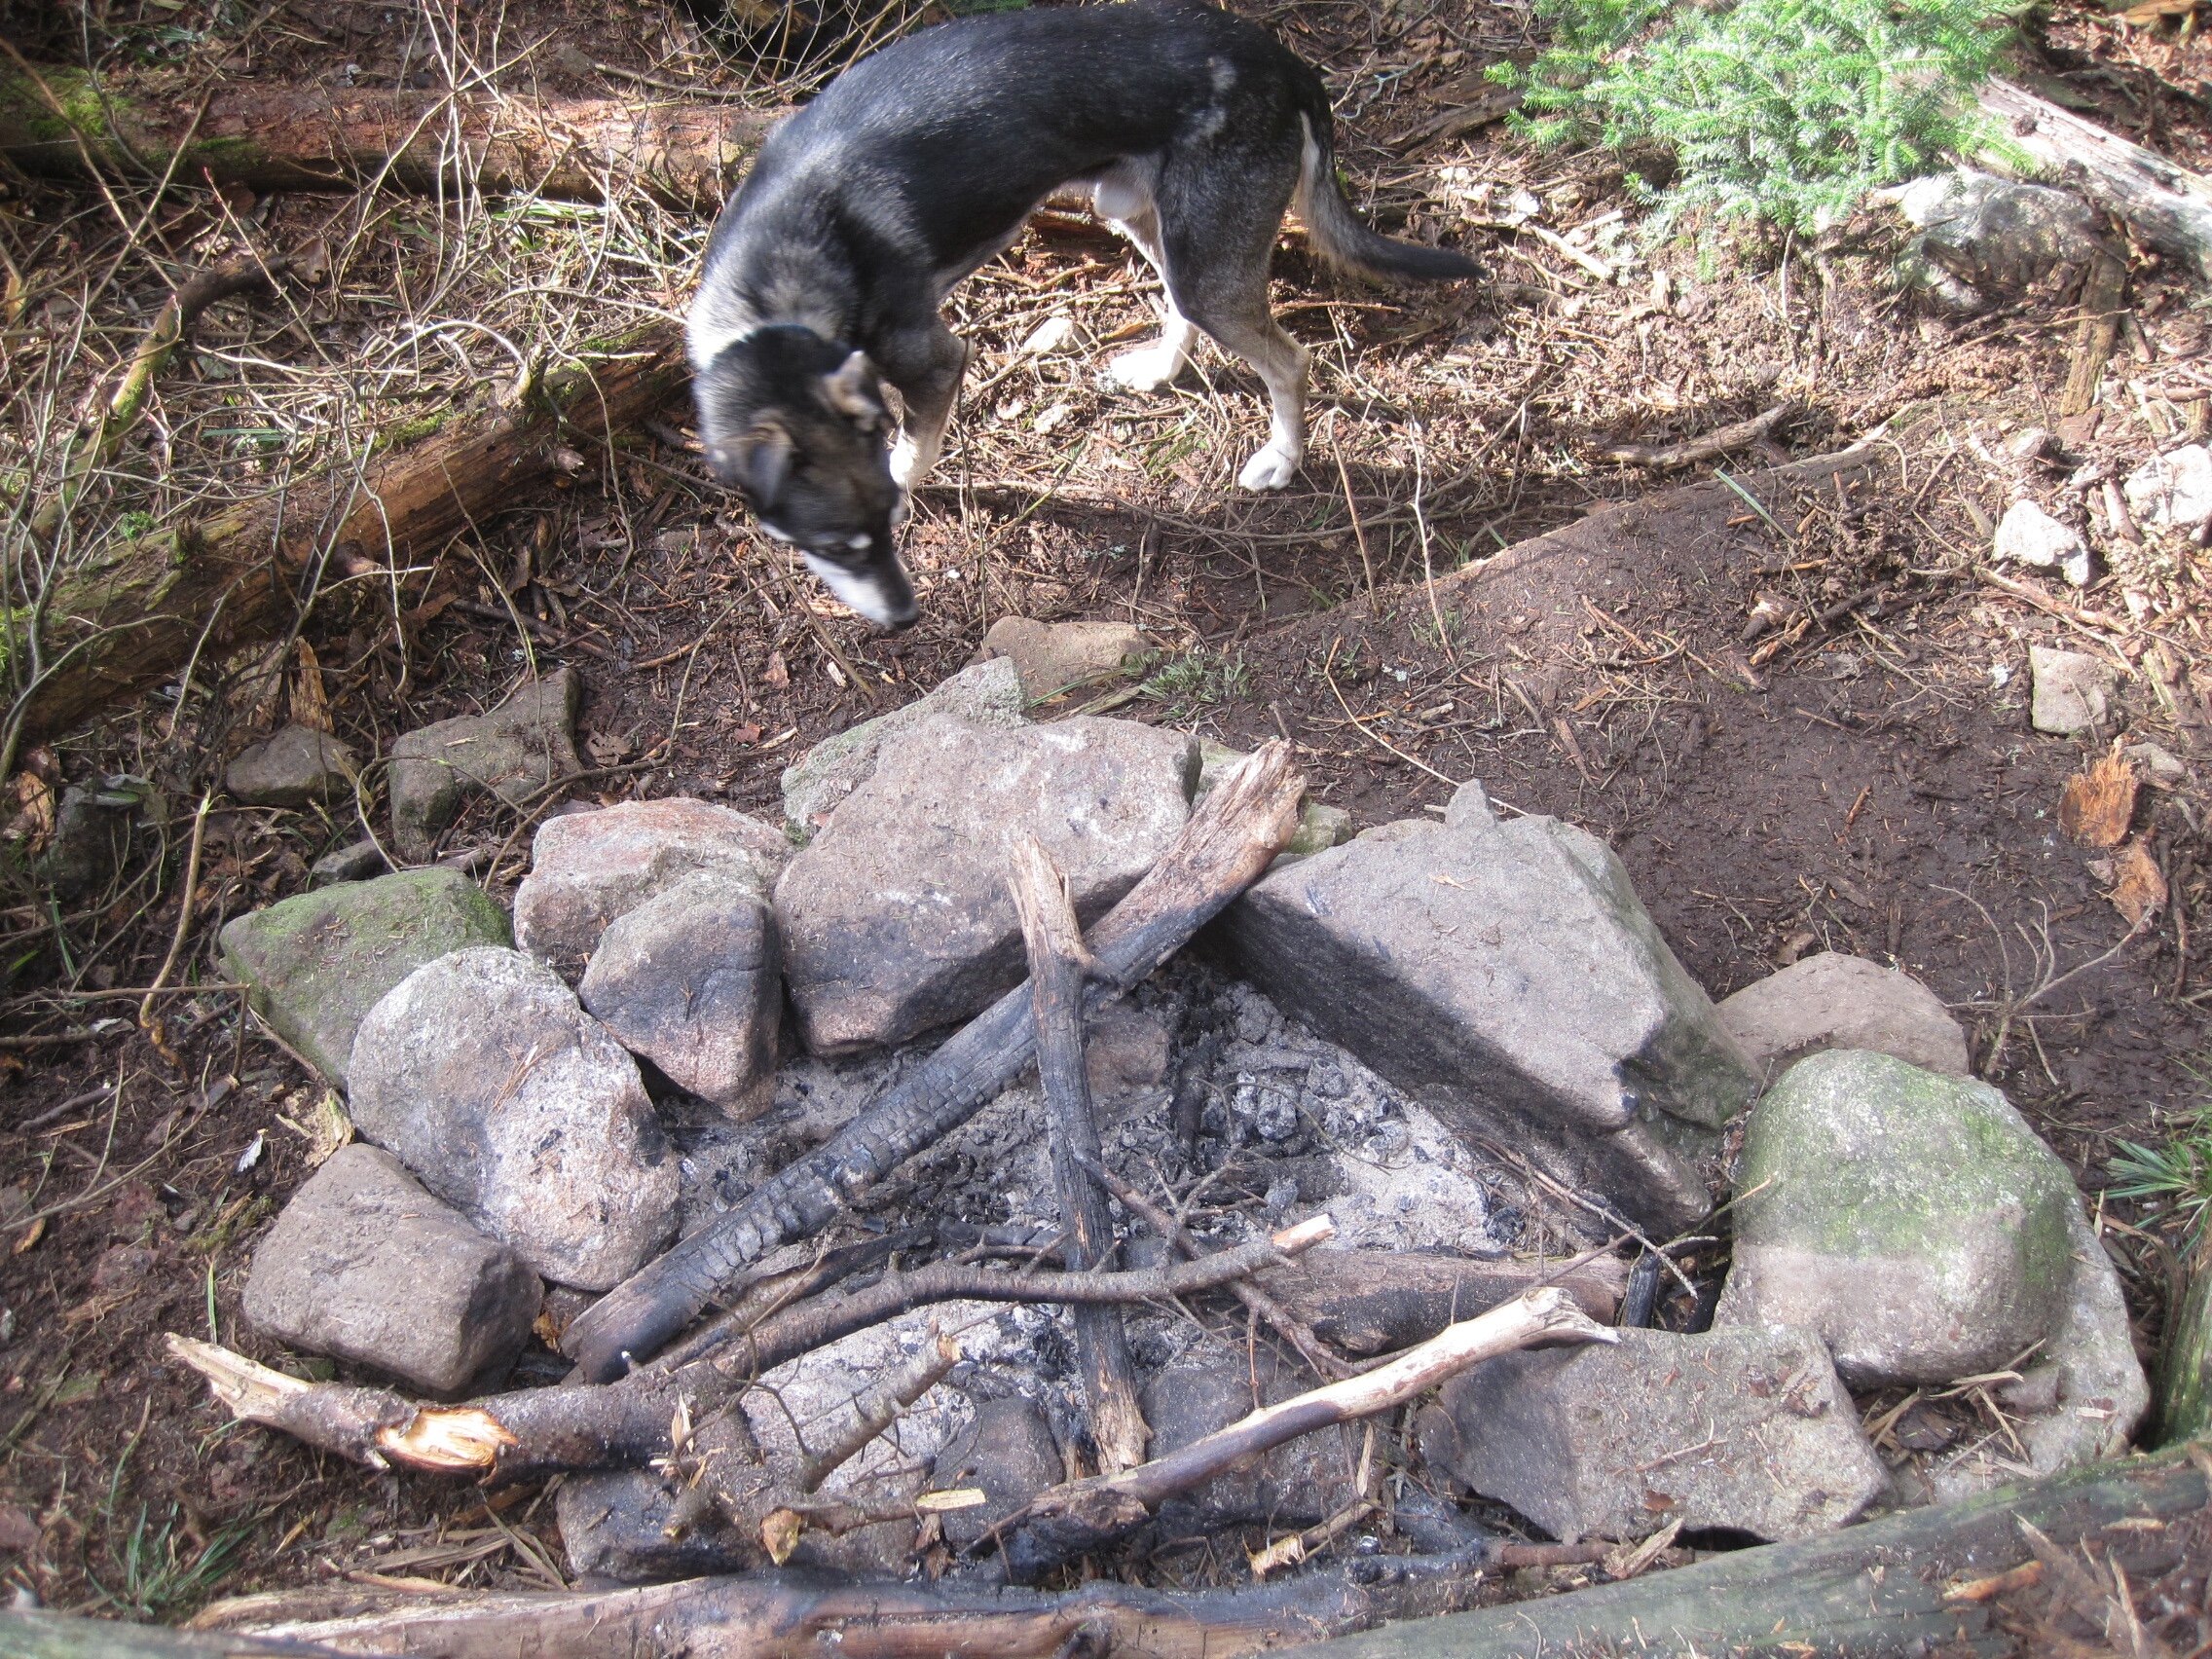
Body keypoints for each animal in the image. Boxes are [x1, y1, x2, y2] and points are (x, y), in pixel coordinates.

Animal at [685, 0, 1486, 628]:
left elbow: (910, 452)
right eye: (829, 546)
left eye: (873, 529)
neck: (775, 272)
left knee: (1290, 361)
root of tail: (1285, 59)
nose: (905, 617)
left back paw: (1281, 460)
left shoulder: (937, 361)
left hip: (1207, 265)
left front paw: (910, 489)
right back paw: (1158, 371)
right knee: (1181, 309)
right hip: (1143, 219)